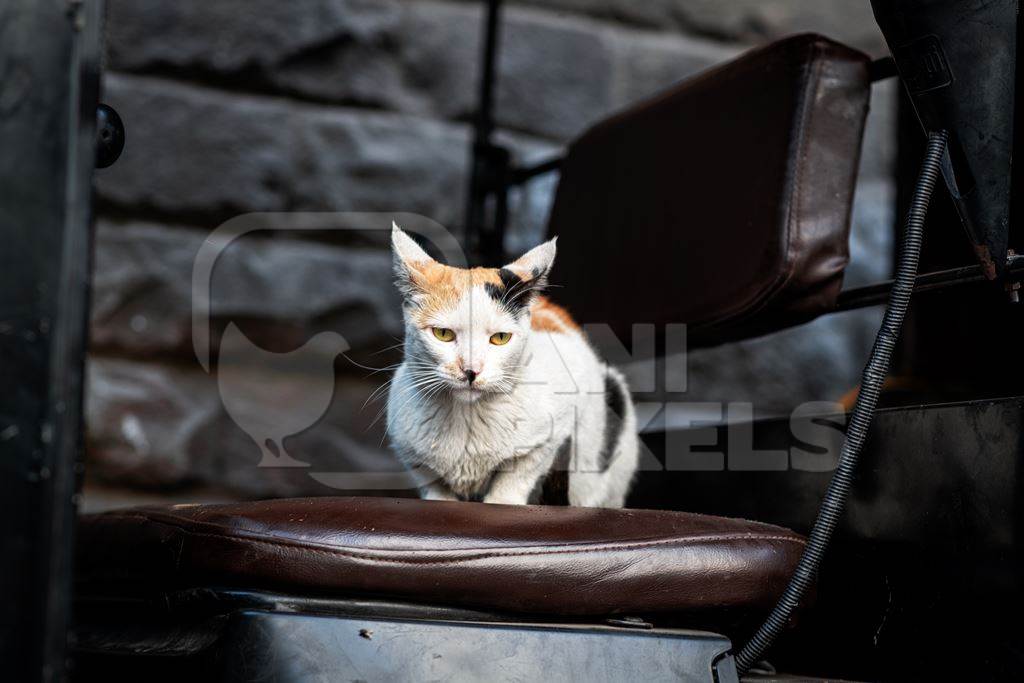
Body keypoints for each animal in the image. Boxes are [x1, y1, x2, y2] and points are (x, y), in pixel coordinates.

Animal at [385, 224, 634, 507]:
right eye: (443, 334)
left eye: (500, 338)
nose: (471, 370)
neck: (467, 418)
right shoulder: (411, 455)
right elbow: (433, 485)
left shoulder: (552, 434)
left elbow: (518, 473)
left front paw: (503, 501)